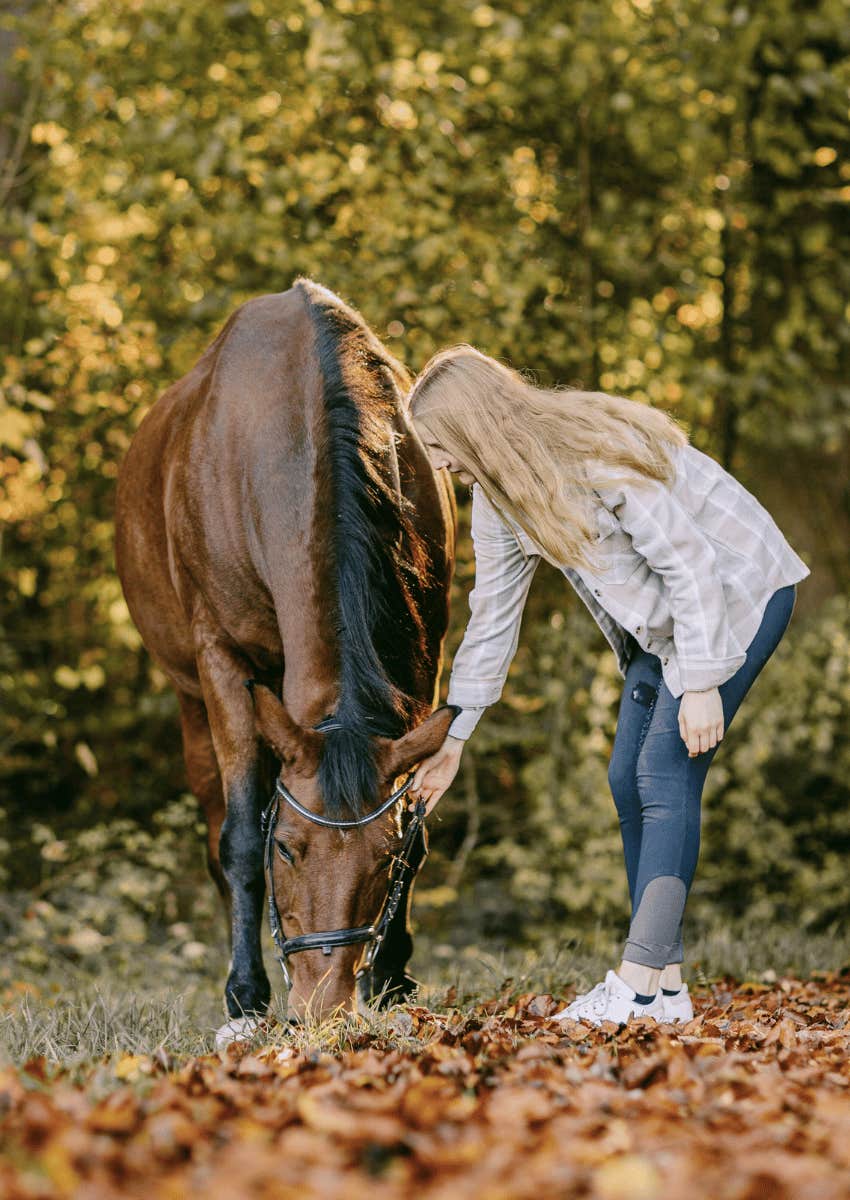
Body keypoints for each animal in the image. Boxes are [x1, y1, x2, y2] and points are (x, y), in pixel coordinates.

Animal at [114, 279, 456, 1027]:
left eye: (382, 860)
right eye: (289, 851)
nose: (323, 1007)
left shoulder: (422, 662)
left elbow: (417, 822)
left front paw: (392, 977)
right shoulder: (222, 662)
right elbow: (240, 838)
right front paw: (245, 993)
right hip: (193, 700)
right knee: (218, 821)